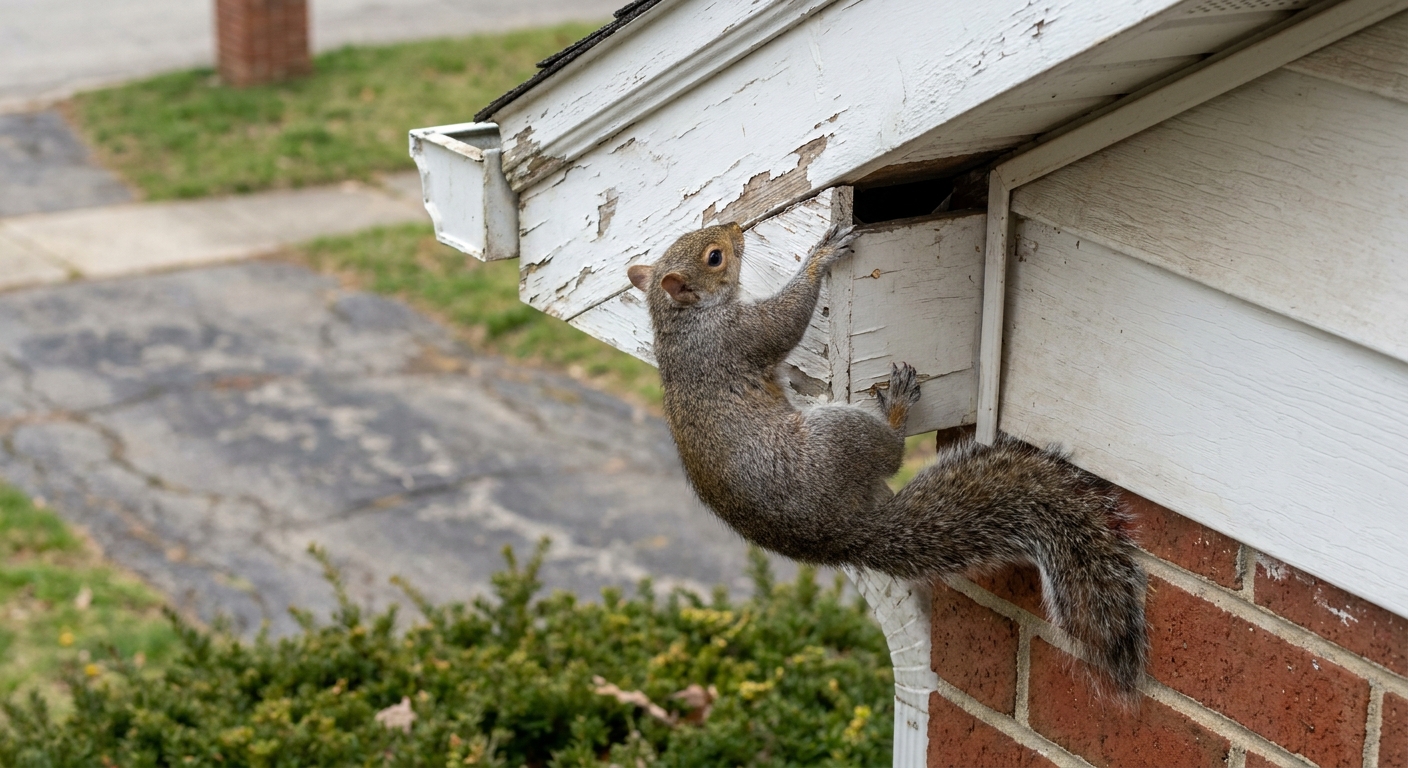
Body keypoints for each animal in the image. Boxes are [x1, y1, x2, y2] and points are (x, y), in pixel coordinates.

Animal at [627, 221, 1149, 698]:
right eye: (716, 257)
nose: (737, 227)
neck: (681, 322)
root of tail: (847, 532)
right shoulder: (735, 336)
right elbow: (784, 322)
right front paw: (820, 256)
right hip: (837, 435)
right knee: (892, 453)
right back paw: (897, 409)